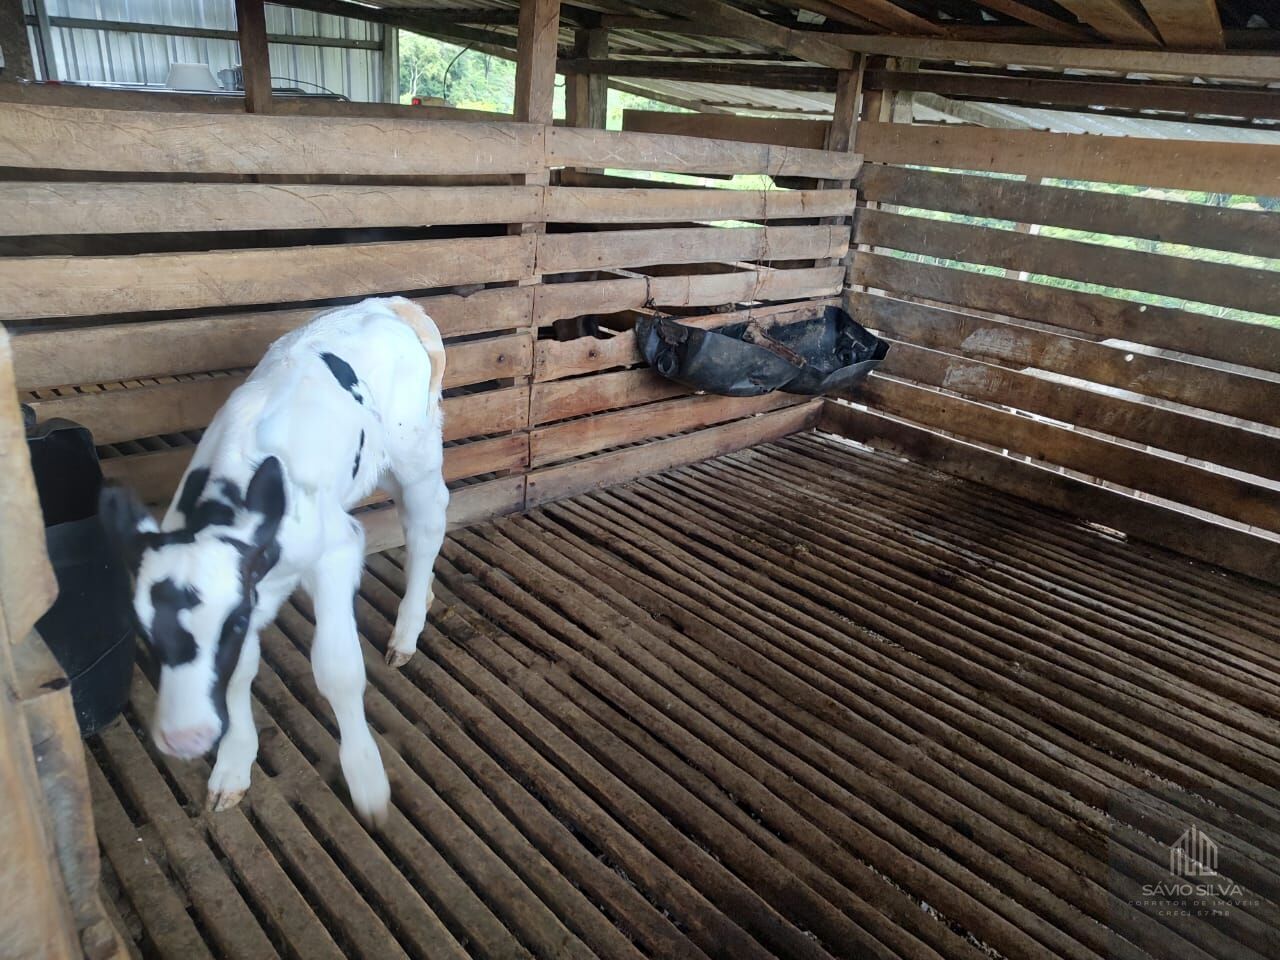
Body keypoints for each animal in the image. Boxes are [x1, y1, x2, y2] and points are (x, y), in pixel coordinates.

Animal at [102, 296, 450, 824]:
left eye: (230, 623)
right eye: (143, 632)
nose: (186, 738)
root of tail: (387, 303)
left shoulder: (336, 554)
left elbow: (337, 669)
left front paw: (366, 778)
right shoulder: (250, 587)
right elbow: (239, 674)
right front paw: (232, 768)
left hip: (415, 450)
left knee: (428, 521)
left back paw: (407, 631)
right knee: (412, 522)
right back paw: (424, 595)